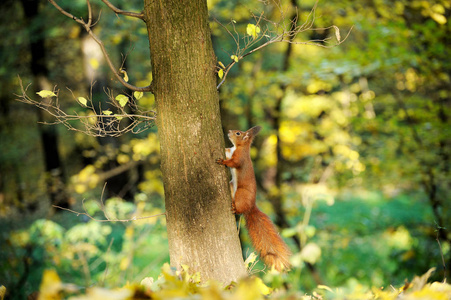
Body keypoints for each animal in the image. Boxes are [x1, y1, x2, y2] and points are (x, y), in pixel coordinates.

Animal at [217, 125, 292, 270]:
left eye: (238, 133)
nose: (228, 131)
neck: (239, 147)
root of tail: (251, 206)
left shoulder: (239, 158)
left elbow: (233, 162)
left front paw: (222, 161)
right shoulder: (230, 151)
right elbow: (227, 151)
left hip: (241, 194)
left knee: (239, 209)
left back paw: (235, 208)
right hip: (232, 186)